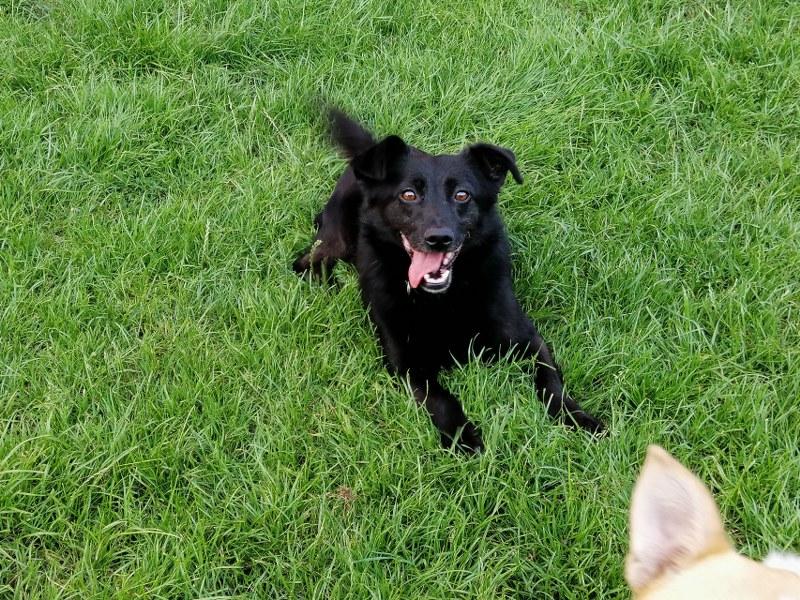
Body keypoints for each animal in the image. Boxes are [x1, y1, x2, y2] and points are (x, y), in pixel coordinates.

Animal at [293, 109, 603, 453]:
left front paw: (578, 418)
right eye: (408, 194)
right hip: (335, 238)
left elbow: (551, 383)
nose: (439, 239)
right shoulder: (407, 365)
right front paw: (464, 437)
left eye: (462, 194)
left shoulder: (528, 339)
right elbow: (442, 399)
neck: (444, 299)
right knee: (306, 262)